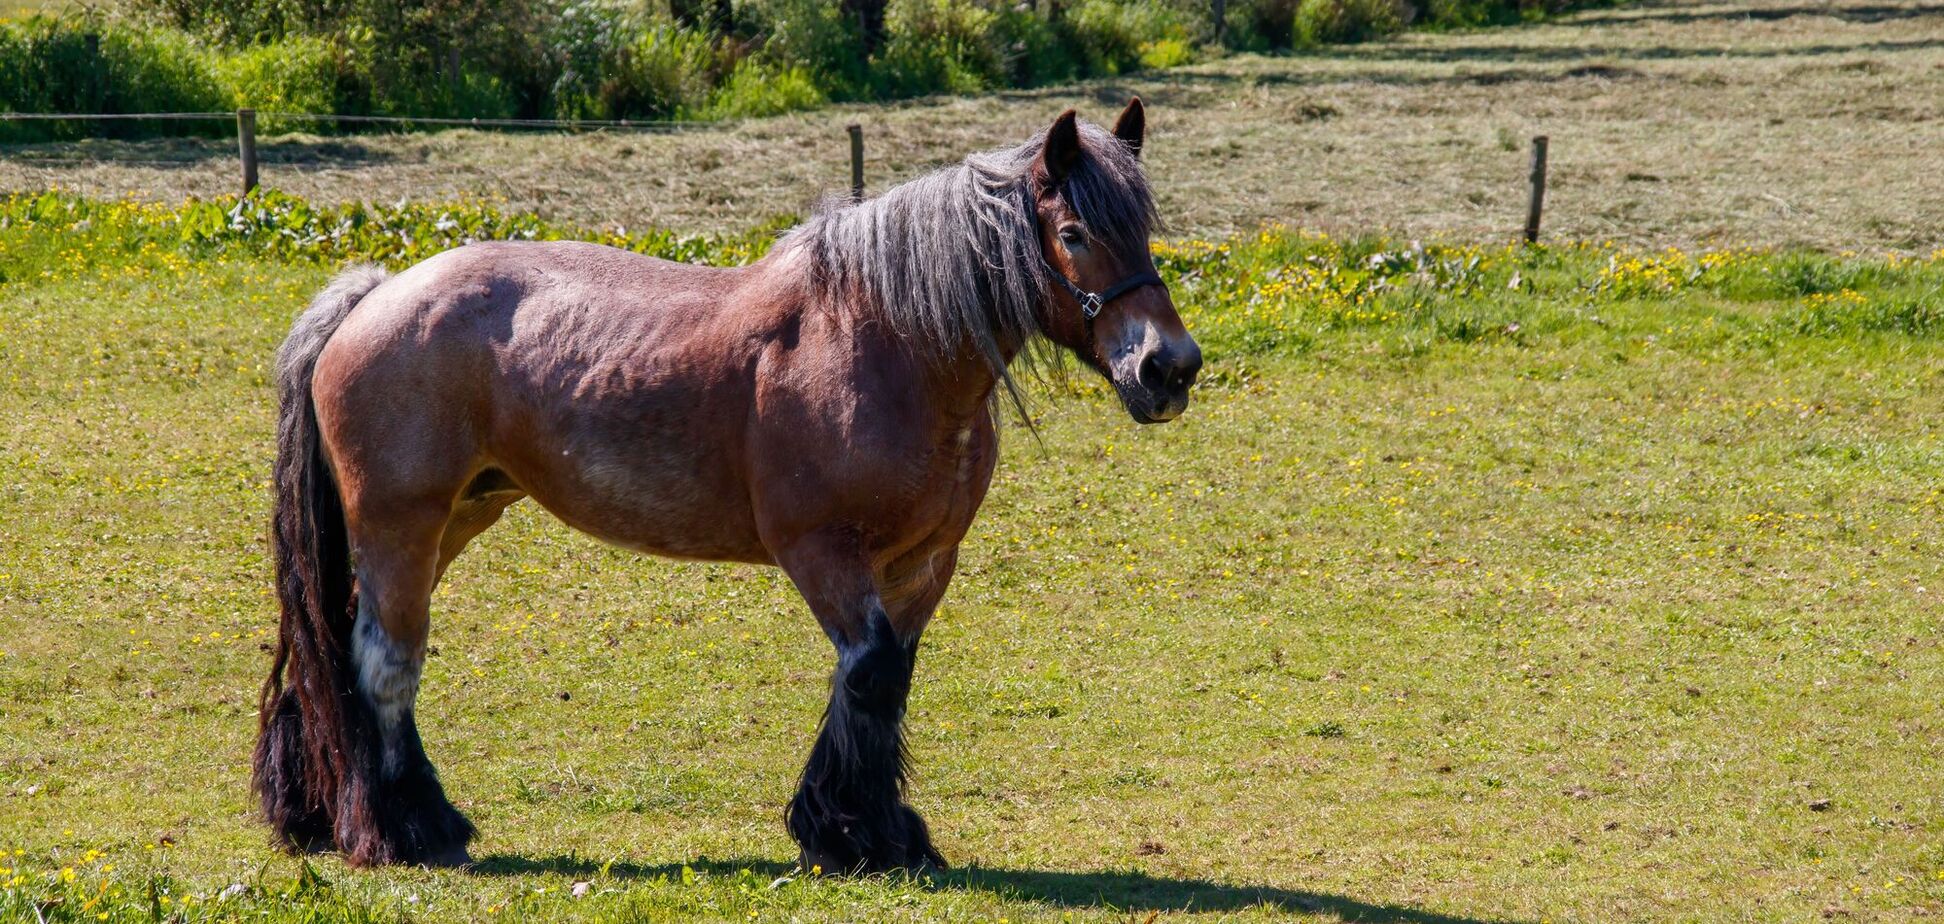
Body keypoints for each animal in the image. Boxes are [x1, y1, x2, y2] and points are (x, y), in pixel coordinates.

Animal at [252, 99, 1202, 873]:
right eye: (1074, 234)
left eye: (1147, 230)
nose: (1170, 367)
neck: (881, 340)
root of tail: (374, 292)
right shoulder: (822, 556)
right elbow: (869, 674)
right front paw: (848, 834)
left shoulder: (923, 566)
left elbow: (888, 682)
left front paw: (878, 831)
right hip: (402, 527)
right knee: (384, 662)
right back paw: (405, 827)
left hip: (453, 518)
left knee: (334, 638)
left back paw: (320, 814)